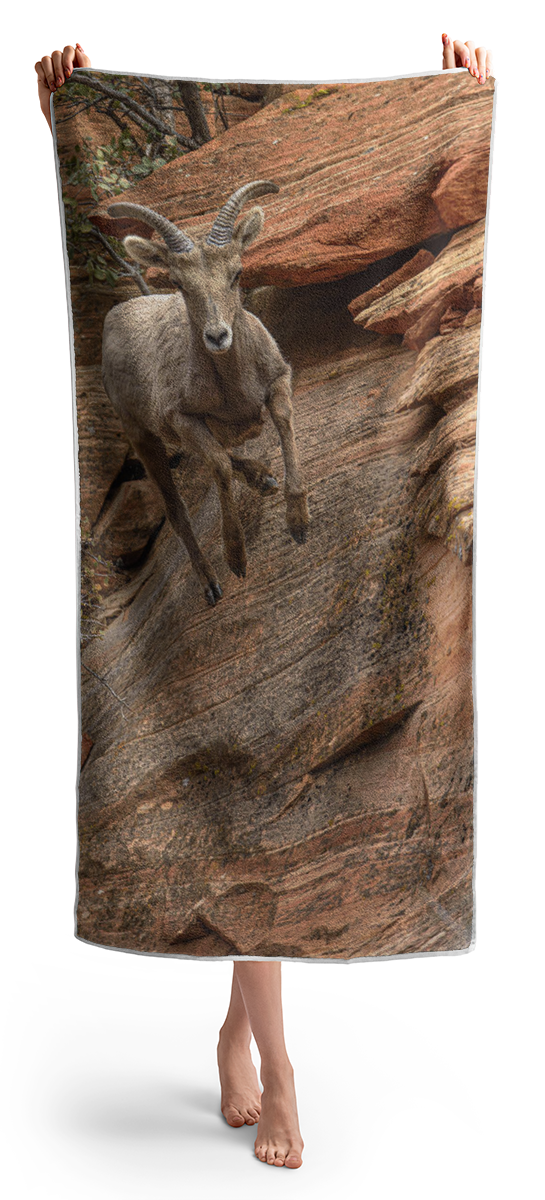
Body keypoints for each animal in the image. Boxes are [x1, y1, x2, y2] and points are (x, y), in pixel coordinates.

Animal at [101, 180, 309, 606]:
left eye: (237, 273)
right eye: (179, 284)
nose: (217, 336)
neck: (233, 388)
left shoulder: (278, 380)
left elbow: (282, 424)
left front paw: (298, 523)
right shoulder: (182, 418)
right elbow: (218, 465)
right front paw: (237, 560)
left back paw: (263, 479)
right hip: (142, 437)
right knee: (176, 509)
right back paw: (211, 585)